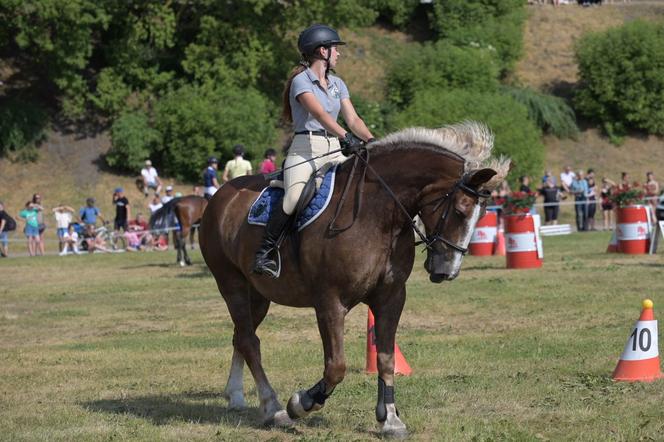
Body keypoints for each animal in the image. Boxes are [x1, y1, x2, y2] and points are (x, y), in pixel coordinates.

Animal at [197, 121, 508, 436]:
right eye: (459, 211)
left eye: (482, 214)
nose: (448, 270)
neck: (378, 214)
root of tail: (221, 196)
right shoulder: (330, 302)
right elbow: (336, 366)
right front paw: (301, 403)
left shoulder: (391, 297)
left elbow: (386, 357)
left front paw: (390, 418)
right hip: (232, 284)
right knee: (249, 340)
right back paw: (273, 406)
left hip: (259, 294)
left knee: (241, 335)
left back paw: (236, 396)